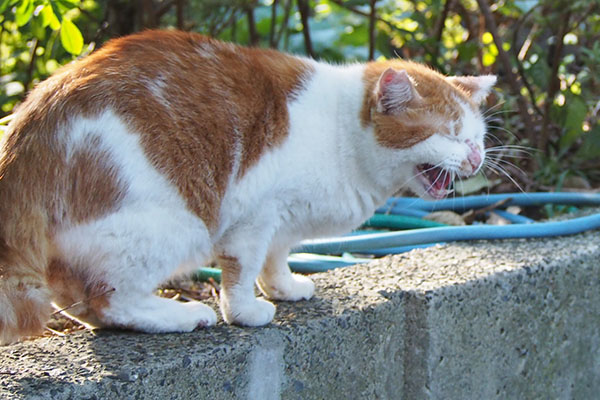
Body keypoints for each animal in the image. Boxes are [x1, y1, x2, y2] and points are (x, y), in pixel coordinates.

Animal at [0, 31, 494, 344]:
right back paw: (181, 315)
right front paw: (247, 312)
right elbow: (241, 272)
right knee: (108, 298)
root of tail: (27, 131)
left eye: (477, 137)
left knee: (75, 296)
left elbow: (276, 257)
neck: (341, 137)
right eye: (449, 135)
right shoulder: (254, 218)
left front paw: (284, 287)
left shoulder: (284, 221)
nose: (475, 159)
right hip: (175, 226)